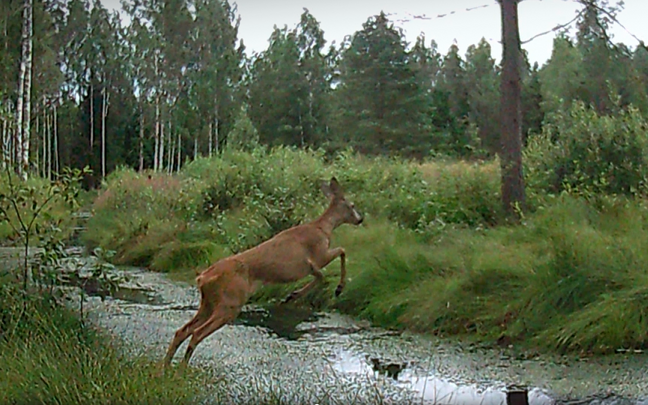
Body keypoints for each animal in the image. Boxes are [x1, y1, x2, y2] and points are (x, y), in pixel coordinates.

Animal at [163, 177, 363, 367]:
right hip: (230, 303)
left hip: (209, 303)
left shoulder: (311, 265)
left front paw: (293, 295)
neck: (323, 229)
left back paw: (166, 367)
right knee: (196, 333)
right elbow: (338, 255)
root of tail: (203, 278)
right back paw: (181, 368)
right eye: (352, 205)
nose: (360, 219)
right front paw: (333, 289)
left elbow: (323, 272)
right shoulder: (318, 255)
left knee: (182, 331)